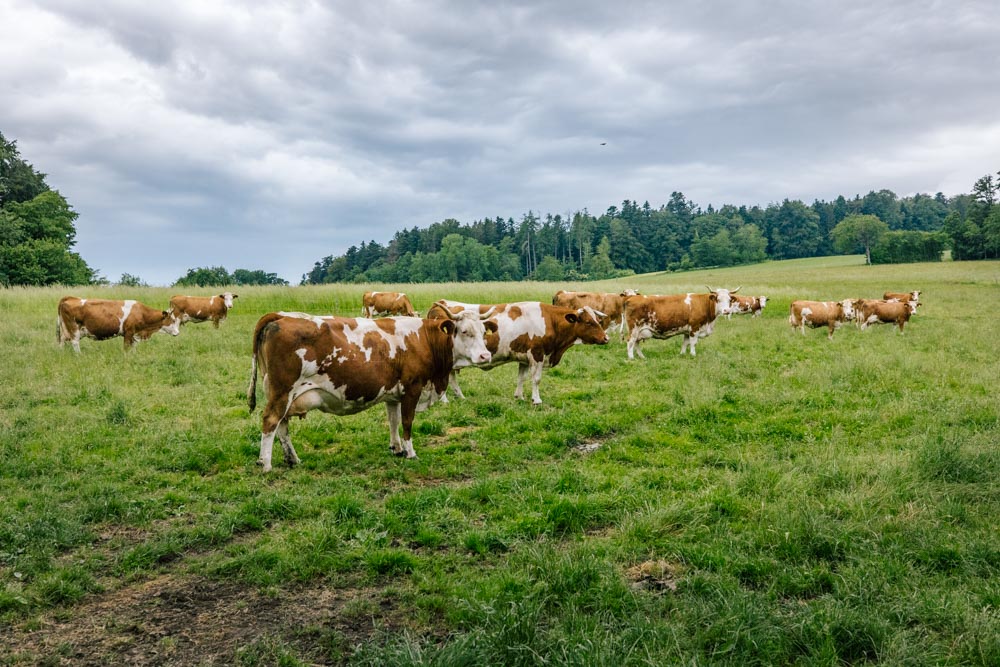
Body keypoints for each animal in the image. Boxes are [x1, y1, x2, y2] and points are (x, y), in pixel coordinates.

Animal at [247, 303, 497, 471]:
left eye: (483, 332)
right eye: (464, 331)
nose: (485, 356)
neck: (423, 339)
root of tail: (282, 316)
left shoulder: (394, 393)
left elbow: (393, 420)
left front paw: (397, 448)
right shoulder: (413, 388)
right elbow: (407, 422)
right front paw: (410, 452)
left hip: (282, 394)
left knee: (282, 425)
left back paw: (292, 459)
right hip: (282, 391)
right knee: (270, 421)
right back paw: (265, 463)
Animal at [427, 300, 609, 404]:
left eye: (598, 320)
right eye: (588, 322)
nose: (606, 338)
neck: (549, 320)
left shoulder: (524, 357)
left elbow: (521, 377)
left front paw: (519, 396)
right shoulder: (537, 353)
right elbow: (536, 379)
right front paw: (536, 399)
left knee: (451, 377)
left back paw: (459, 396)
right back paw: (444, 400)